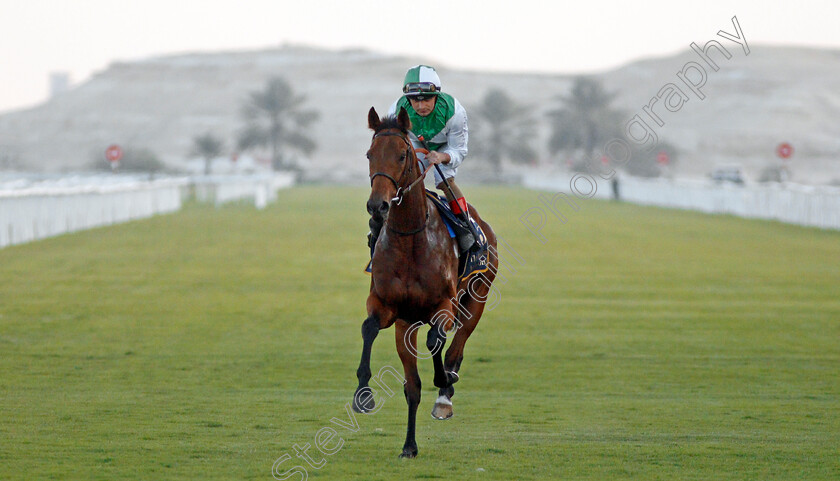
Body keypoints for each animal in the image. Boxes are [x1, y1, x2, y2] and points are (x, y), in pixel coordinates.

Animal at [350, 106, 496, 458]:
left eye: (403, 155)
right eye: (369, 154)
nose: (378, 206)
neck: (411, 239)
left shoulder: (445, 305)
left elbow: (437, 341)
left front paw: (443, 380)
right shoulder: (388, 306)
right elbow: (369, 329)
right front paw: (363, 394)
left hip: (479, 295)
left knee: (457, 344)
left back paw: (445, 392)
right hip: (408, 324)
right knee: (413, 386)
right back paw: (410, 444)